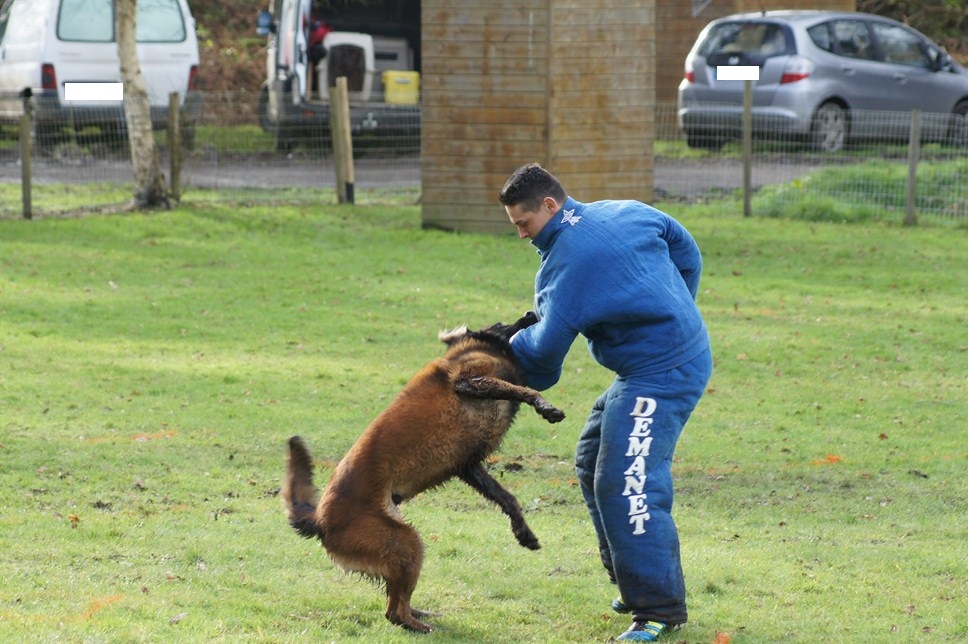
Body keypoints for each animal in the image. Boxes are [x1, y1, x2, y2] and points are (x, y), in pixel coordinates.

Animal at [280, 314, 564, 632]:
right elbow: (526, 390)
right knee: (394, 613)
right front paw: (546, 407)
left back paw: (421, 614)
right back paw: (422, 626)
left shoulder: (468, 466)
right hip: (406, 544)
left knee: (395, 600)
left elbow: (508, 499)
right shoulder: (468, 380)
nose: (531, 314)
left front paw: (523, 532)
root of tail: (319, 520)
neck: (465, 350)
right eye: (501, 323)